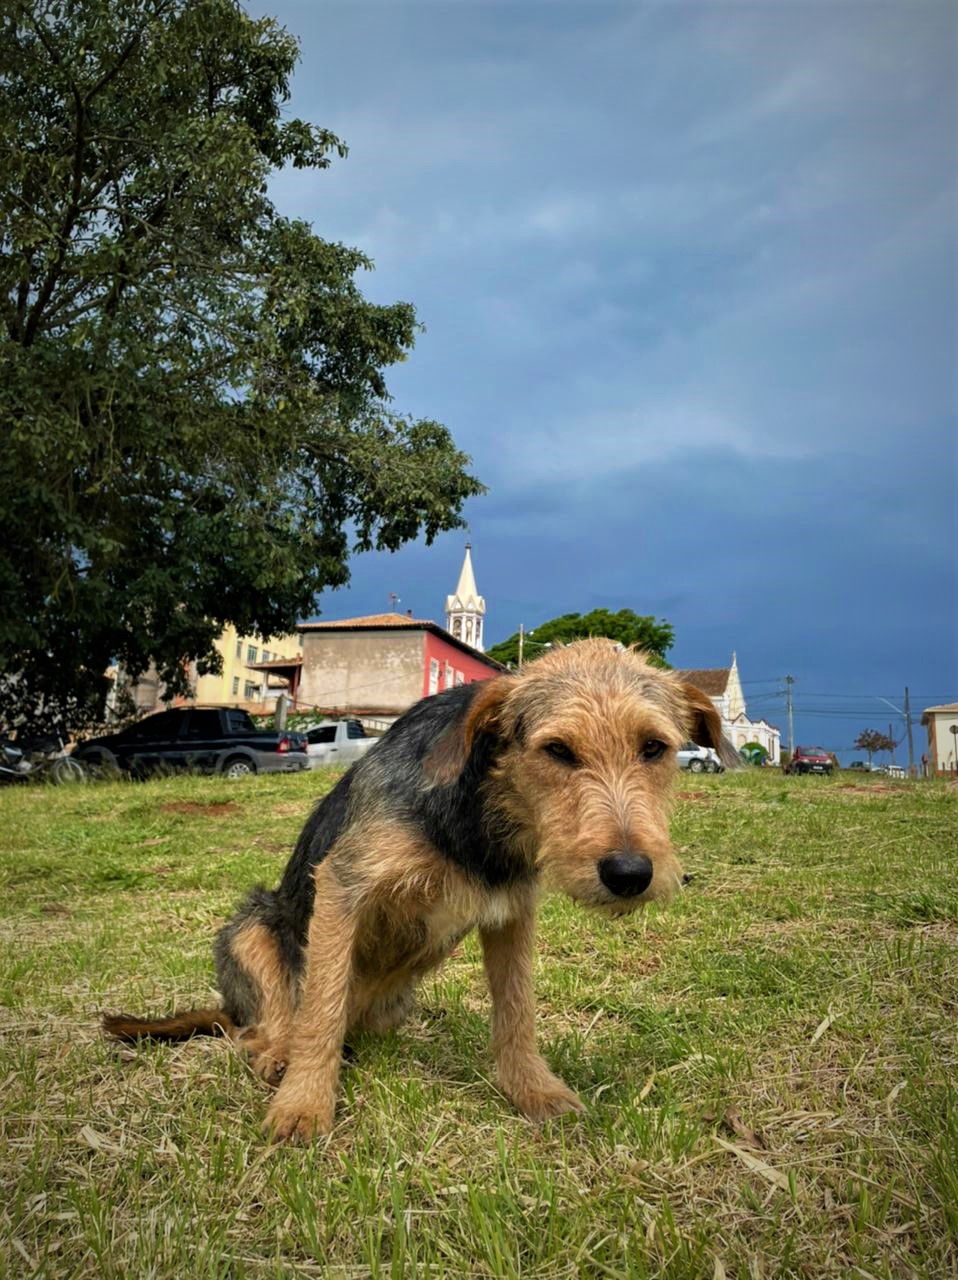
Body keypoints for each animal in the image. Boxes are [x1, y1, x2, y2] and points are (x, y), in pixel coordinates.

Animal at [105, 640, 732, 1141]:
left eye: (654, 748)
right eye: (557, 750)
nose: (630, 873)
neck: (483, 809)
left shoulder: (512, 916)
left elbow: (517, 1012)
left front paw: (534, 1091)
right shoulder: (342, 886)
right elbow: (321, 1009)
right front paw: (304, 1105)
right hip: (252, 926)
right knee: (258, 1024)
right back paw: (277, 1054)